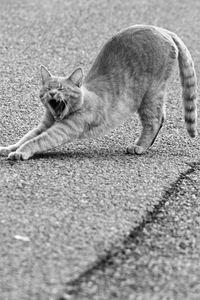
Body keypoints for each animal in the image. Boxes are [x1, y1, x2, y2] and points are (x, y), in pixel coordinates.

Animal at [0, 24, 197, 161]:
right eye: (48, 88)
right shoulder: (43, 125)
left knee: (155, 120)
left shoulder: (65, 128)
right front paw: (10, 148)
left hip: (150, 94)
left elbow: (37, 141)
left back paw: (140, 146)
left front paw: (20, 153)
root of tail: (162, 29)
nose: (52, 94)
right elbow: (27, 137)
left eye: (62, 89)